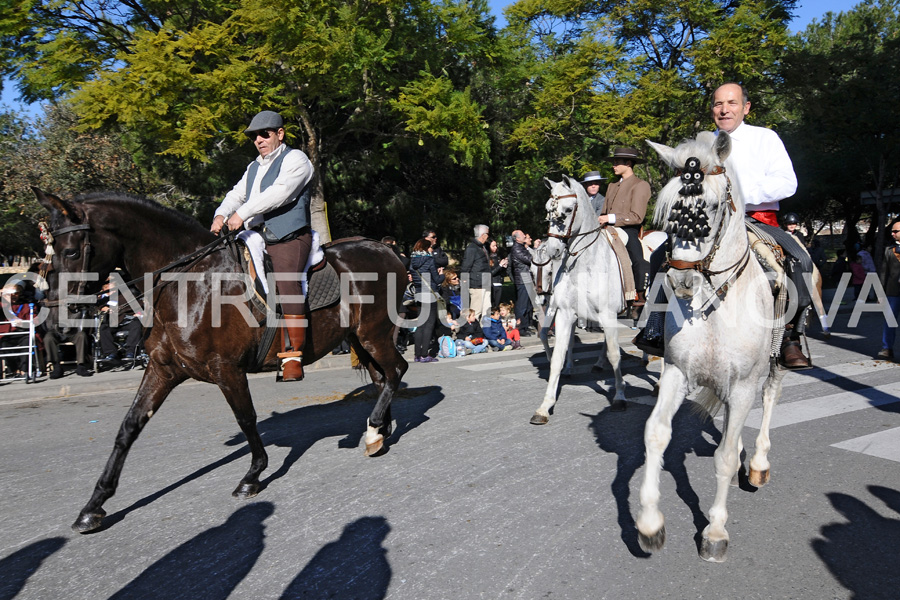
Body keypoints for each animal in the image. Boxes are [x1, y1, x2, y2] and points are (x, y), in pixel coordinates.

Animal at [34, 190, 408, 532]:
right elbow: (129, 427)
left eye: (70, 251)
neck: (186, 285)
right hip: (360, 338)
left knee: (396, 371)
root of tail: (385, 248)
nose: (56, 324)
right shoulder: (162, 369)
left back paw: (375, 430)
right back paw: (379, 429)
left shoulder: (226, 368)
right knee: (382, 378)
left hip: (374, 334)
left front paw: (253, 475)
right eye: (49, 257)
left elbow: (246, 419)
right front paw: (94, 505)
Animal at [528, 176, 624, 424]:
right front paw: (545, 406)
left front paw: (620, 396)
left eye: (568, 210)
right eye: (547, 210)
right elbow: (558, 354)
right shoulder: (564, 313)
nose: (553, 250)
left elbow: (615, 354)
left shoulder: (607, 313)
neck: (585, 263)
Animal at [640, 131, 780, 564]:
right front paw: (649, 523)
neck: (715, 304)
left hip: (775, 363)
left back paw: (758, 464)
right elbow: (656, 435)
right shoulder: (675, 373)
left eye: (712, 209)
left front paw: (715, 531)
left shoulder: (744, 385)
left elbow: (723, 455)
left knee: (770, 397)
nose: (681, 282)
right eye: (671, 213)